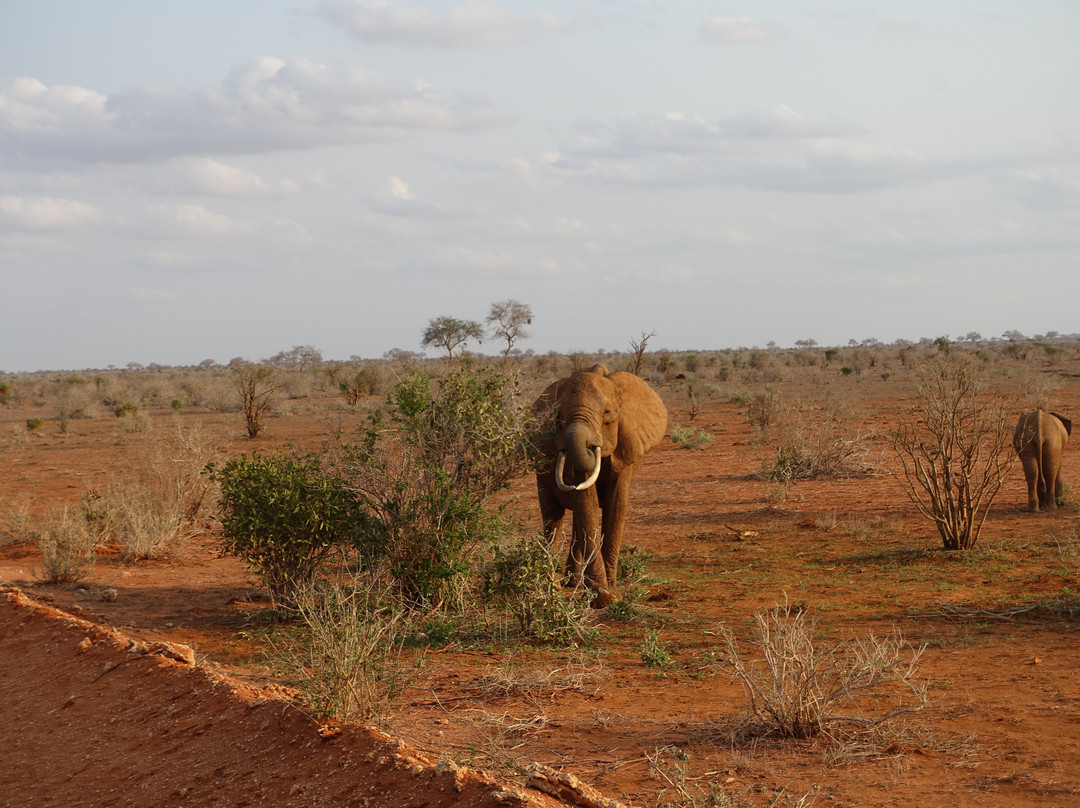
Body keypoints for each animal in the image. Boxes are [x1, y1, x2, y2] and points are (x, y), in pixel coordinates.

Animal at [531, 365, 665, 604]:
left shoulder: (626, 445)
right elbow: (587, 502)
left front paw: (611, 593)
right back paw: (554, 586)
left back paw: (572, 582)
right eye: (558, 419)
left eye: (608, 413)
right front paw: (601, 597)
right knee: (553, 517)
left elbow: (615, 504)